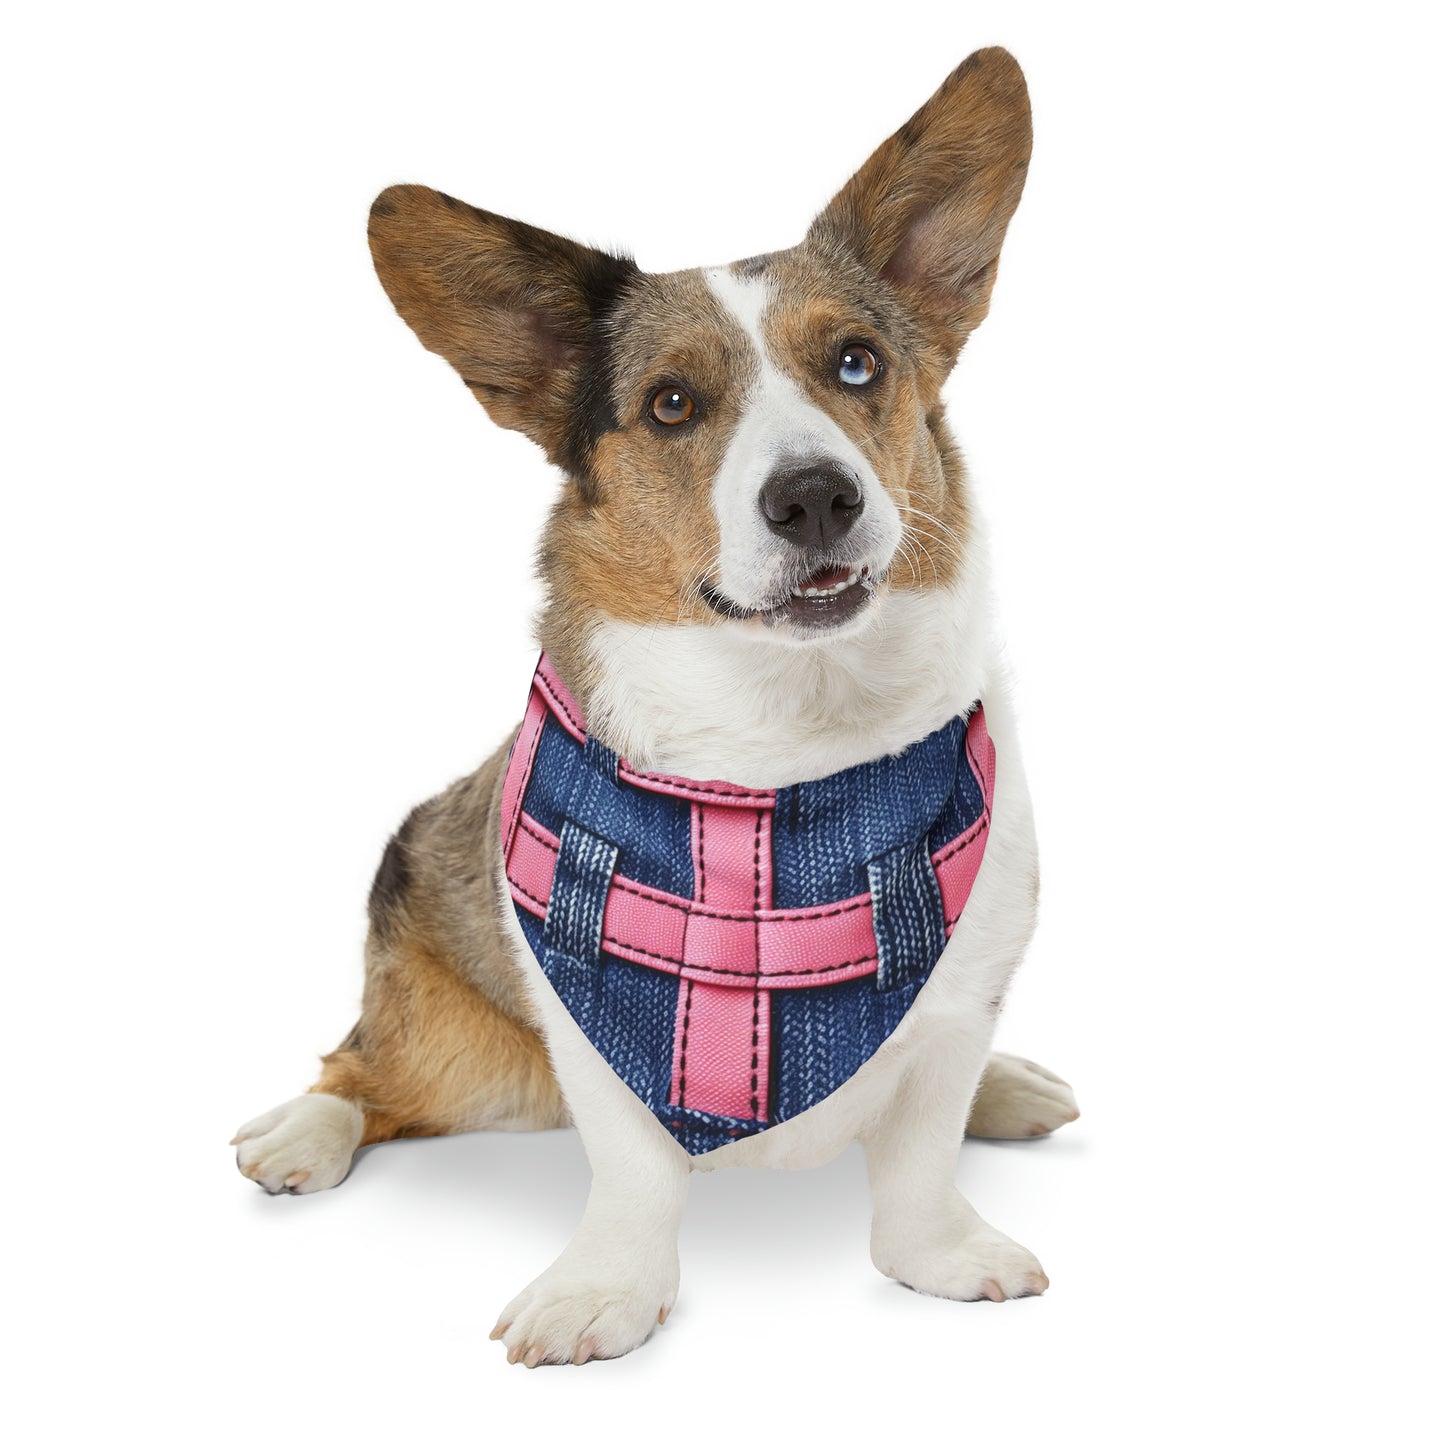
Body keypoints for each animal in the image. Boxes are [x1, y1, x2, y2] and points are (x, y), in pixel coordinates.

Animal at [231, 48, 1080, 1364]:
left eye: (856, 363)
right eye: (671, 403)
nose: (815, 497)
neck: (786, 769)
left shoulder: (959, 991)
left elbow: (922, 1146)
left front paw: (938, 1251)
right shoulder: (590, 1026)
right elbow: (631, 1168)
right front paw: (603, 1292)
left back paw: (1009, 1088)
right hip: (457, 1047)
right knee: (363, 1071)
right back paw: (302, 1130)